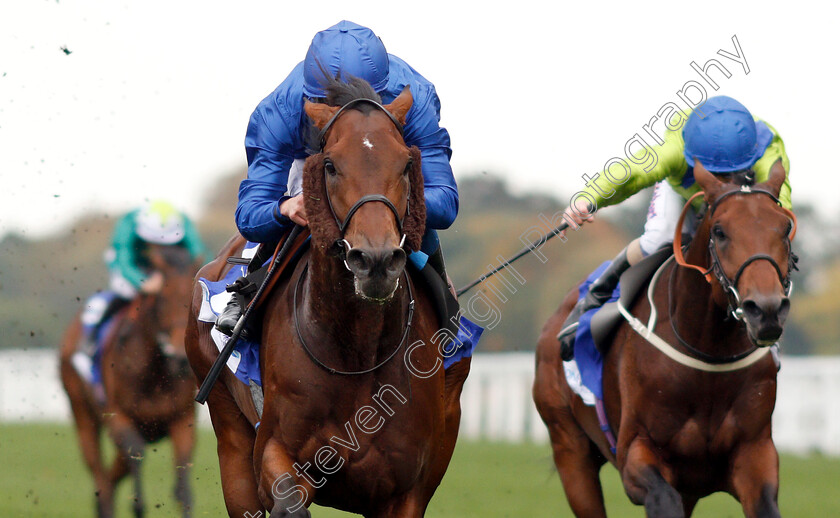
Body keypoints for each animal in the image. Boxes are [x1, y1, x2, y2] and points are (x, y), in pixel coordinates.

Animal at [60, 245, 200, 518]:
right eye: (162, 299)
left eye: (194, 301)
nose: (180, 359)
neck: (156, 373)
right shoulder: (119, 415)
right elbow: (135, 453)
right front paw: (138, 504)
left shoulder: (182, 419)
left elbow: (184, 487)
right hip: (83, 415)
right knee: (101, 474)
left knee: (111, 475)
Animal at [186, 77, 470, 518]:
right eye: (331, 165)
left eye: (407, 164)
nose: (376, 260)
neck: (358, 352)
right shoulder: (274, 453)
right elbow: (289, 502)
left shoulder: (407, 492)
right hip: (229, 434)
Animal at [536, 160, 796, 516]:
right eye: (719, 231)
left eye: (785, 228)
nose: (766, 310)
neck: (708, 352)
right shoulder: (637, 453)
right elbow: (662, 497)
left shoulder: (755, 452)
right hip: (570, 450)